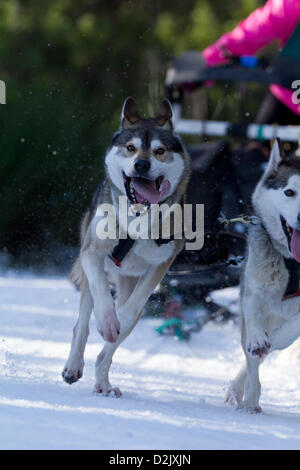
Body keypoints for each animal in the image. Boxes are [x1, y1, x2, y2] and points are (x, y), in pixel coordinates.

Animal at [62, 97, 191, 394]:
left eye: (159, 151)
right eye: (131, 148)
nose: (142, 165)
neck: (137, 220)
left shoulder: (159, 266)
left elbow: (130, 313)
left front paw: (117, 320)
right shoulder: (92, 253)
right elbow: (101, 295)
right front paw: (108, 320)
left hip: (131, 284)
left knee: (107, 351)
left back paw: (103, 382)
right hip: (91, 274)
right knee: (82, 324)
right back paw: (74, 366)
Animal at [225, 140, 300, 412]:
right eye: (289, 192)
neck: (292, 263)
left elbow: (288, 333)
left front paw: (275, 339)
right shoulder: (253, 290)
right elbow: (254, 320)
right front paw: (259, 340)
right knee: (251, 361)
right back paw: (248, 399)